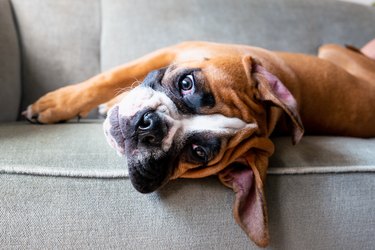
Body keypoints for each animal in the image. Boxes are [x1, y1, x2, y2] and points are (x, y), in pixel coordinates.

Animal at [22, 40, 375, 246]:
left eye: (198, 152)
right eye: (186, 83)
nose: (151, 126)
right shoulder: (168, 51)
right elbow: (106, 78)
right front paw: (56, 105)